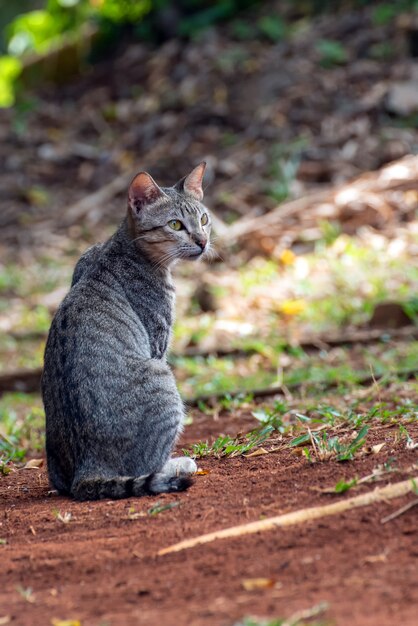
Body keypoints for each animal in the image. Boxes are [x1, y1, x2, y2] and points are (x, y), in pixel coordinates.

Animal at [42, 163, 211, 500]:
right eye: (175, 225)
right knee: (149, 468)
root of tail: (87, 470)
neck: (119, 246)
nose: (202, 241)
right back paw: (178, 465)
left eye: (203, 219)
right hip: (162, 377)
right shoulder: (158, 342)